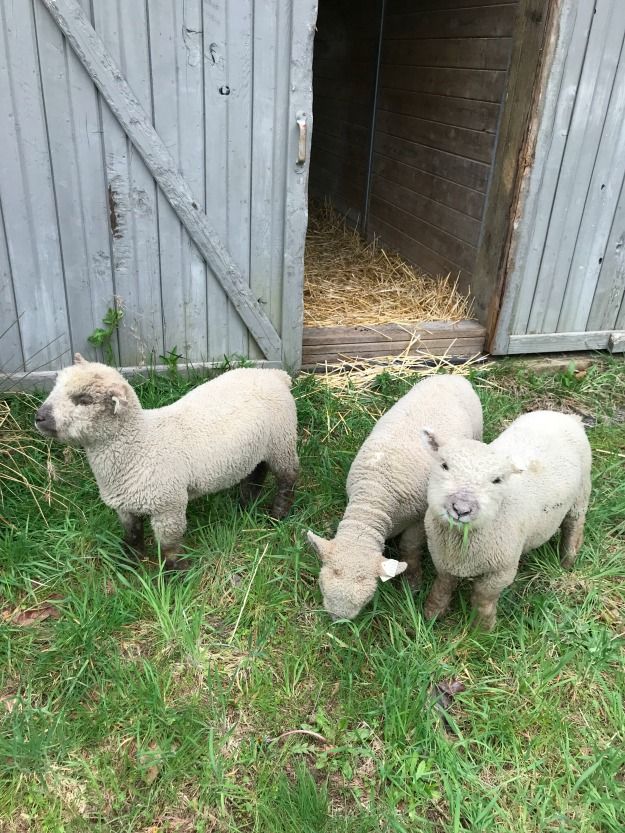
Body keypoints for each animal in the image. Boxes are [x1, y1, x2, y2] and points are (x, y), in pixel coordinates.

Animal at [36, 354, 300, 568]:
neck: (140, 445)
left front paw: (176, 576)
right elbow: (132, 536)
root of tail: (274, 374)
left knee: (288, 477)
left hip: (282, 441)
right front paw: (131, 564)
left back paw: (277, 516)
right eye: (56, 385)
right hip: (259, 447)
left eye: (84, 399)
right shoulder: (125, 507)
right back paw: (246, 506)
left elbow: (170, 547)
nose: (39, 417)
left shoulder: (168, 506)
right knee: (256, 472)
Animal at [308, 374, 482, 620]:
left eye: (368, 598)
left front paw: (412, 582)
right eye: (322, 584)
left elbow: (410, 546)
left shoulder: (418, 517)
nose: (338, 620)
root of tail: (453, 376)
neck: (374, 497)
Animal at [422, 406, 592, 628]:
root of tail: (566, 416)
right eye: (444, 465)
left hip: (581, 494)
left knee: (574, 525)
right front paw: (432, 614)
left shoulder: (502, 570)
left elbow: (482, 598)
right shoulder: (441, 556)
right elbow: (443, 584)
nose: (461, 508)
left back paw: (567, 562)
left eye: (497, 480)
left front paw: (482, 628)